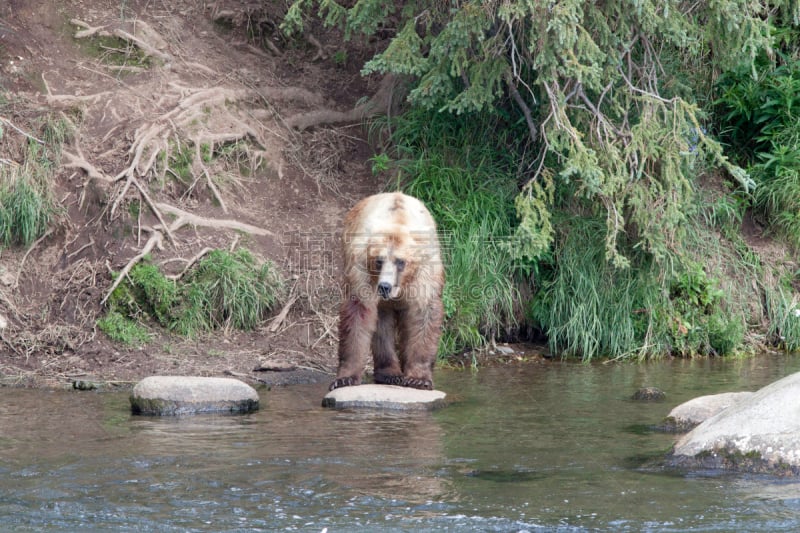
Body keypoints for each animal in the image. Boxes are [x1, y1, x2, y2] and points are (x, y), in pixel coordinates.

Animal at [330, 191, 446, 390]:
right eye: (379, 260)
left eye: (400, 261)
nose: (385, 286)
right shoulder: (360, 267)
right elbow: (358, 312)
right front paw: (345, 378)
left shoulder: (424, 271)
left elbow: (423, 314)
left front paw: (419, 378)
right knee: (381, 326)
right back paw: (389, 373)